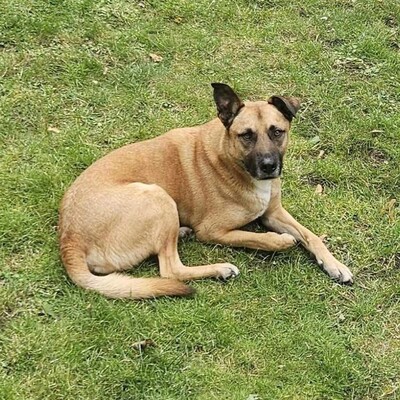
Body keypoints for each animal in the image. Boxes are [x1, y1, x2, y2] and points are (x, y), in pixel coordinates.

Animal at [59, 83, 354, 298]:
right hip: (158, 197)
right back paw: (220, 268)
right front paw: (279, 241)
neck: (232, 160)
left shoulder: (274, 212)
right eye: (246, 135)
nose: (269, 166)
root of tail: (69, 240)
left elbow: (311, 236)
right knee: (170, 270)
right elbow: (254, 237)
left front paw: (335, 265)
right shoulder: (213, 230)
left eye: (277, 132)